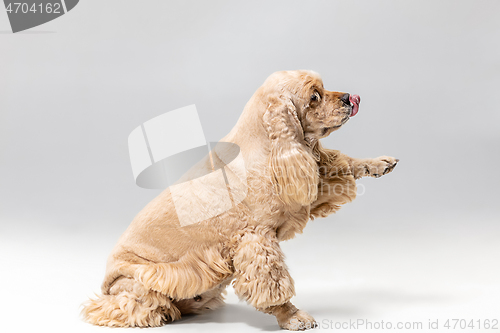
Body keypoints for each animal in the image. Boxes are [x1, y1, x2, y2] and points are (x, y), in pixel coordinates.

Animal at [84, 70, 400, 330]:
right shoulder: (256, 238)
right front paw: (291, 315)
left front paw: (379, 163)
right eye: (314, 96)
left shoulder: (302, 187)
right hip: (140, 281)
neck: (269, 146)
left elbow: (344, 165)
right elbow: (273, 283)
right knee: (123, 307)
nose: (350, 97)